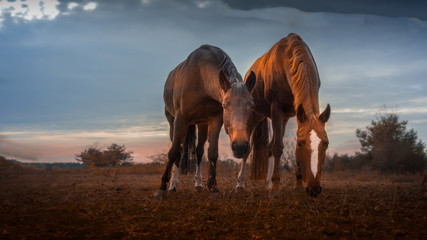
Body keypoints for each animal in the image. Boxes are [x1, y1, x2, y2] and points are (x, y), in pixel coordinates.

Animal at [157, 45, 258, 199]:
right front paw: (162, 187)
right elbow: (173, 152)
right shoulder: (181, 119)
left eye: (252, 106)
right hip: (172, 122)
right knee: (179, 151)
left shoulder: (216, 120)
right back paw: (172, 185)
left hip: (202, 124)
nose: (240, 147)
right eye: (225, 105)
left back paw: (198, 184)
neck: (200, 78)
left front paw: (212, 186)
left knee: (199, 151)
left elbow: (212, 152)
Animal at [241, 33, 332, 197]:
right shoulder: (276, 109)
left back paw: (268, 184)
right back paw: (241, 185)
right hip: (255, 117)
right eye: (300, 143)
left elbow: (283, 150)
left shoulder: (295, 113)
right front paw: (276, 189)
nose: (314, 189)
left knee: (269, 148)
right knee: (248, 149)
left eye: (326, 143)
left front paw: (297, 185)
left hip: (282, 119)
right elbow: (278, 147)